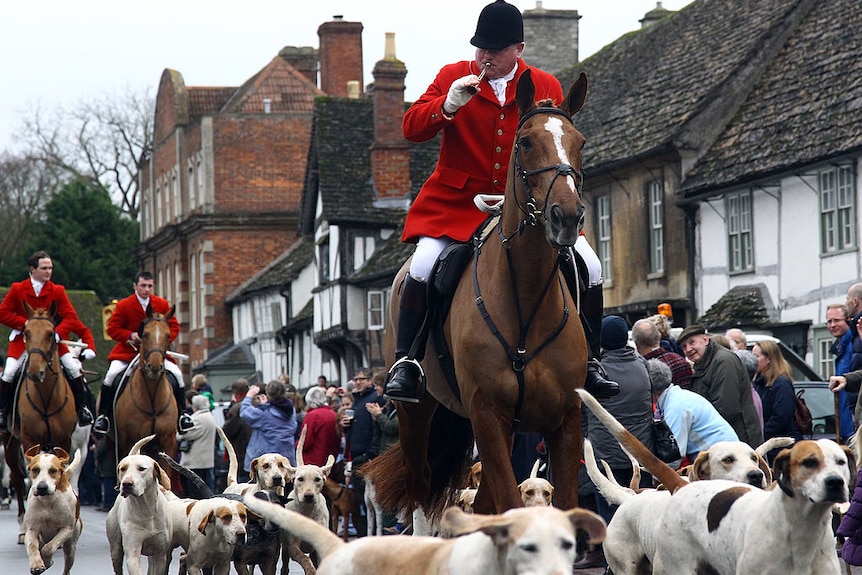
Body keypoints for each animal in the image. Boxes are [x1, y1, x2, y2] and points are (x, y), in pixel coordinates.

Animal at [2, 304, 78, 544]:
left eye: (50, 334)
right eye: (26, 332)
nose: (36, 372)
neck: (45, 396)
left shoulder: (64, 439)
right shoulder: (29, 440)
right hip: (10, 441)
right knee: (17, 477)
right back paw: (21, 524)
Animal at [111, 306, 179, 468]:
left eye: (168, 336)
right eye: (145, 334)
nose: (154, 367)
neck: (153, 401)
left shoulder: (168, 442)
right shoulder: (130, 441)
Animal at [368, 72, 596, 516]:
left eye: (579, 142)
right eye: (525, 142)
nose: (567, 217)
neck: (526, 299)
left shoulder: (565, 419)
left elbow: (562, 505)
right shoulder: (487, 414)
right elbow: (507, 501)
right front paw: (459, 94)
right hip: (415, 416)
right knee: (421, 486)